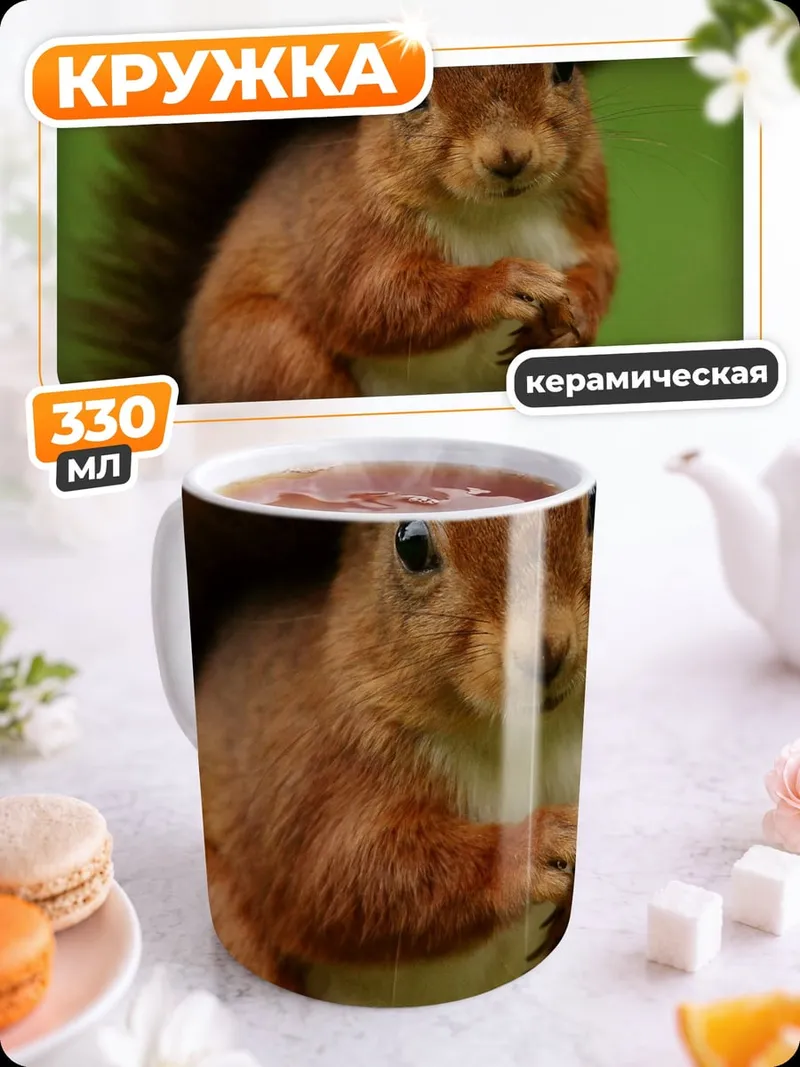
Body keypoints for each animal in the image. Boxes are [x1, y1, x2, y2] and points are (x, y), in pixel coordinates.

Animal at [75, 62, 618, 402]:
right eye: (411, 95)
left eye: (565, 69)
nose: (510, 157)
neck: (492, 215)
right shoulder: (344, 228)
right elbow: (368, 301)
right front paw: (504, 284)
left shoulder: (584, 204)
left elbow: (603, 266)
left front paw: (573, 314)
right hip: (270, 353)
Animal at [191, 493, 594, 999]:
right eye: (411, 544)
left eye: (594, 508)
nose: (547, 652)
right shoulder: (313, 772)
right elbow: (340, 878)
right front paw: (539, 845)